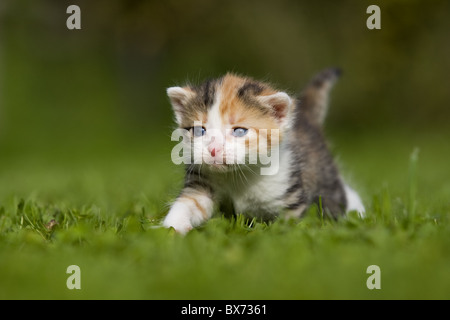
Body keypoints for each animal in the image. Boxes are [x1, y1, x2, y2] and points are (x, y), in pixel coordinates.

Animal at [163, 68, 364, 232]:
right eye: (199, 131)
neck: (238, 175)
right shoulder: (201, 181)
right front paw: (172, 228)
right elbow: (189, 202)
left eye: (239, 131)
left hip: (323, 173)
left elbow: (290, 225)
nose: (213, 150)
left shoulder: (289, 192)